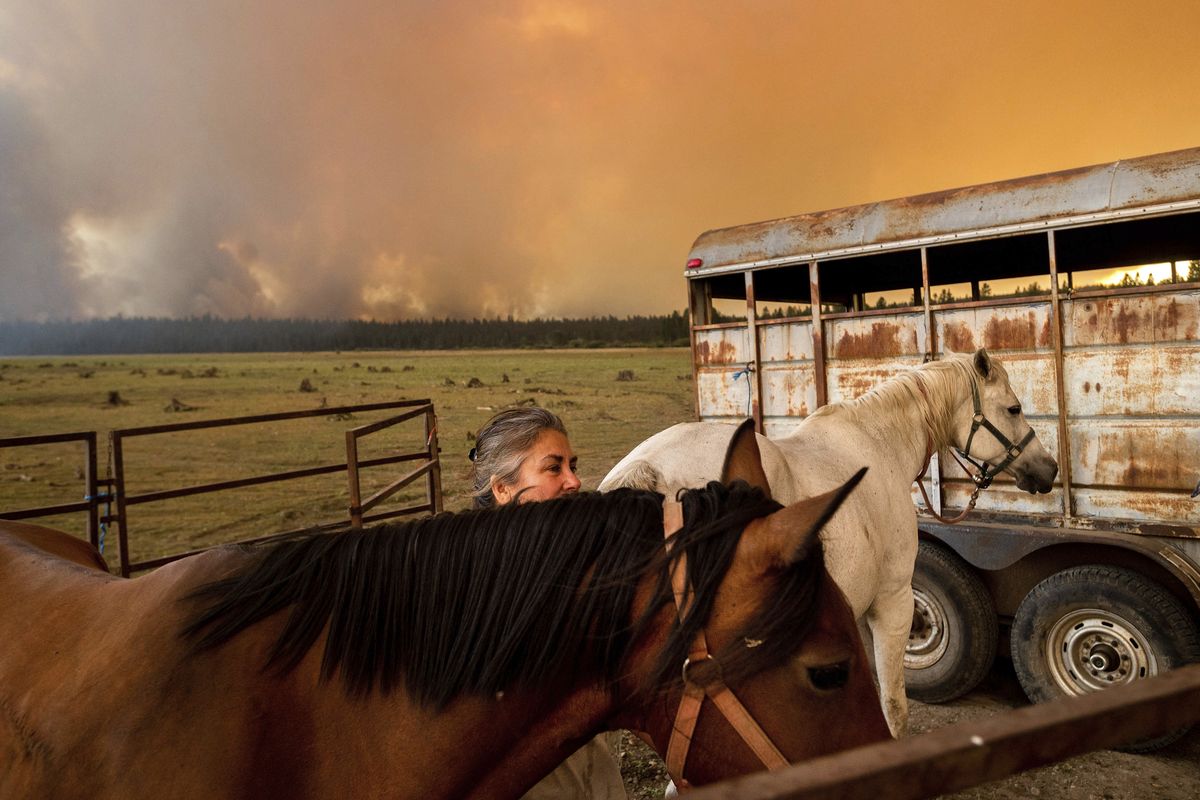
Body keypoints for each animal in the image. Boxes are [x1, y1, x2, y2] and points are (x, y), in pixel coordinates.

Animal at [600, 350, 1060, 738]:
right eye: (1014, 408)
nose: (1049, 469)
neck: (881, 445)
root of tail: (646, 471)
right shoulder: (893, 601)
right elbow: (894, 706)